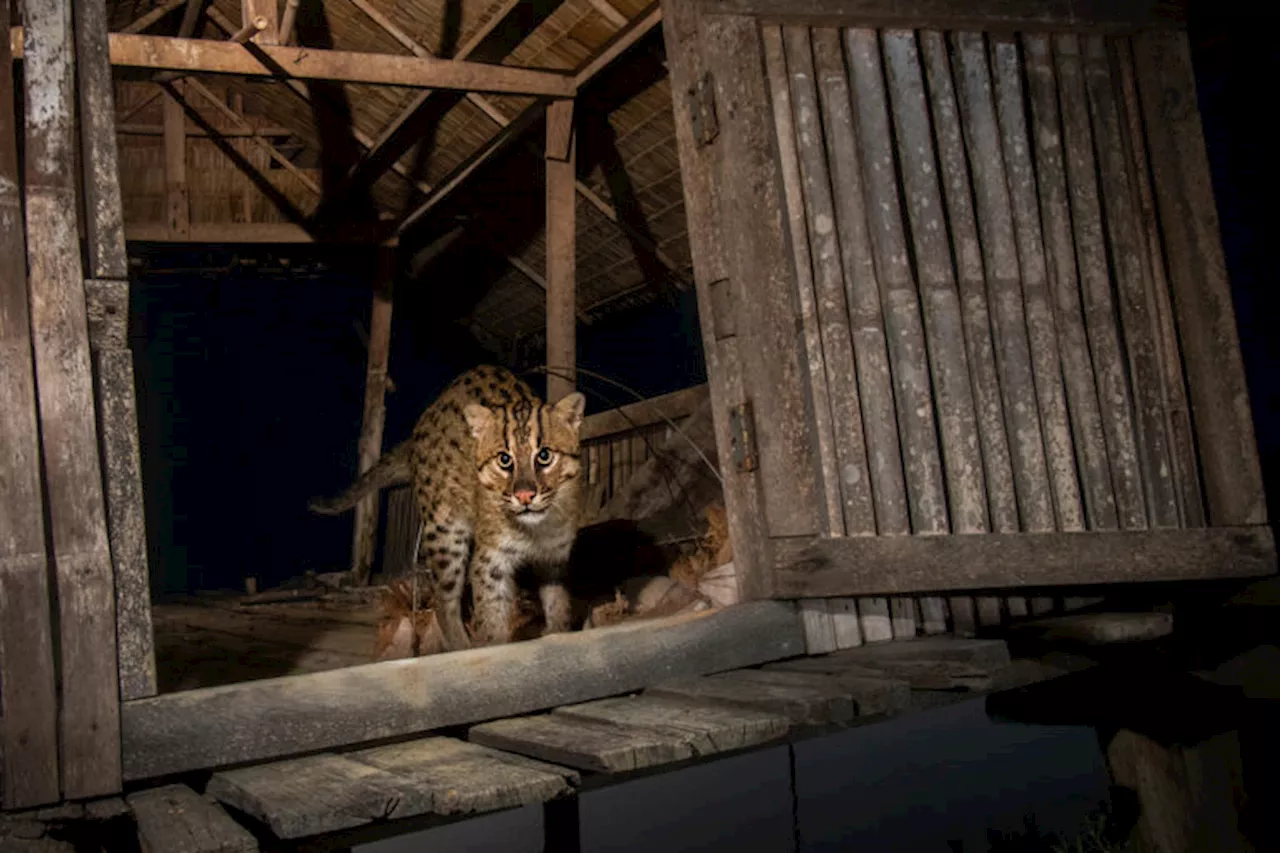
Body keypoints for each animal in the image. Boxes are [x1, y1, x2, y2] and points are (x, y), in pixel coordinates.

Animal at [309, 361, 588, 648]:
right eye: (504, 460)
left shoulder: (555, 558)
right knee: (444, 601)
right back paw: (460, 644)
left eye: (544, 456)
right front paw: (495, 646)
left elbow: (558, 602)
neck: (537, 529)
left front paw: (559, 631)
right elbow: (491, 616)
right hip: (445, 532)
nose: (524, 496)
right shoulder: (491, 562)